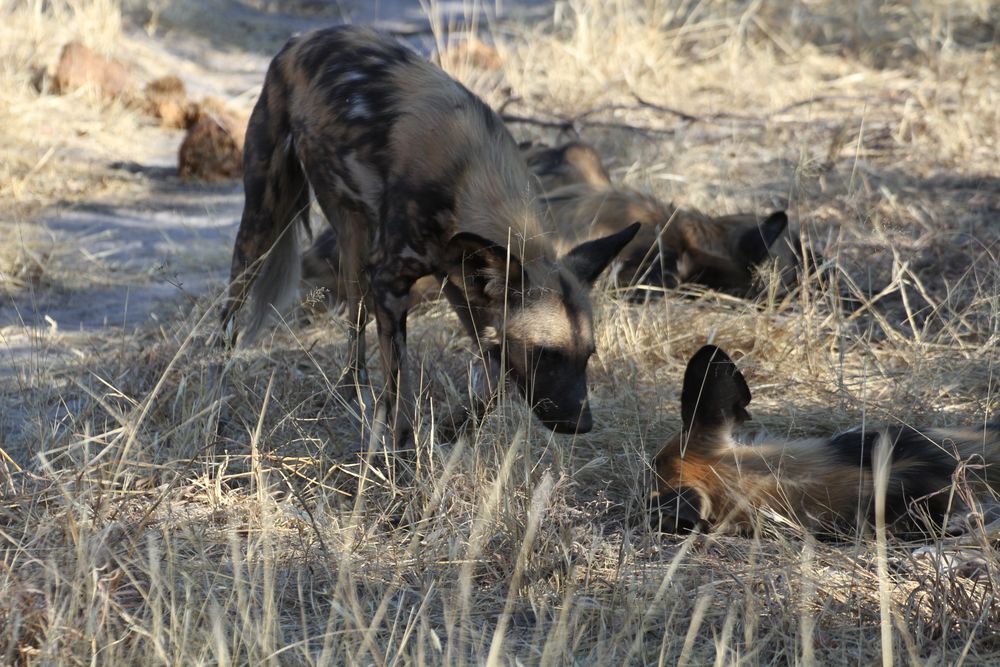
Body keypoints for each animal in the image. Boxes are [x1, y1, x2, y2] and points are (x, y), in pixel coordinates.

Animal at [220, 27, 640, 454]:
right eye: (546, 355)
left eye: (587, 356)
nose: (581, 424)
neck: (468, 177)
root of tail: (302, 39)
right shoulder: (390, 284)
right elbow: (401, 391)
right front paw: (403, 457)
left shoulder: (463, 286)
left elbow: (496, 381)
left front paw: (456, 428)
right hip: (263, 219)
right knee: (231, 306)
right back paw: (218, 386)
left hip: (353, 246)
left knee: (354, 327)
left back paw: (354, 399)